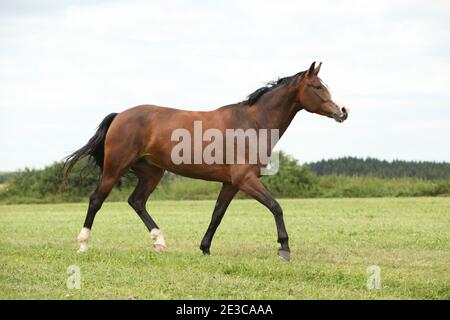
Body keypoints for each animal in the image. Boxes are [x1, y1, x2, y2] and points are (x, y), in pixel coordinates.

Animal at [63, 61, 350, 262]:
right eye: (317, 87)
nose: (342, 111)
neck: (253, 123)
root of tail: (120, 115)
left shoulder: (232, 183)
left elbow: (217, 215)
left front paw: (205, 249)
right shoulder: (246, 179)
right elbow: (276, 207)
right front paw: (285, 249)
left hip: (151, 172)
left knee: (137, 201)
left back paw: (159, 242)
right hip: (115, 167)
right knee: (96, 200)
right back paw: (83, 245)